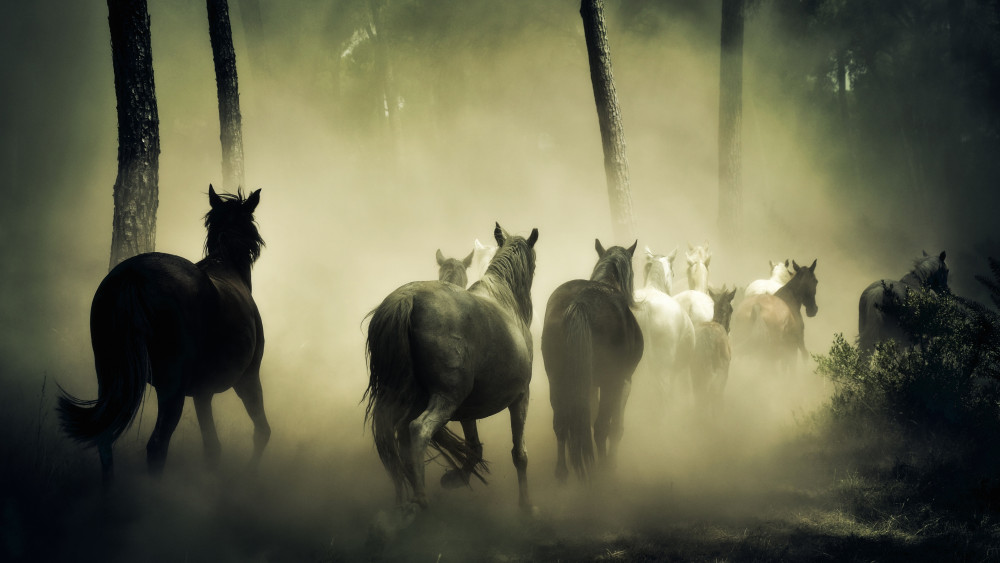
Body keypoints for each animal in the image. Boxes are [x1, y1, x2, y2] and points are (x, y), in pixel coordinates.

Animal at [58, 186, 270, 483]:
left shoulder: (203, 393)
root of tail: (133, 273)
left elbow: (212, 448)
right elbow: (261, 433)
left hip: (110, 377)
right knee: (157, 446)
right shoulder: (247, 379)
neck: (226, 265)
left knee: (105, 441)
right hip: (172, 389)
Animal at [364, 223, 538, 513]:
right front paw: (527, 507)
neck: (505, 300)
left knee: (390, 439)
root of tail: (407, 299)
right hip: (446, 398)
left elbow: (474, 448)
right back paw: (420, 499)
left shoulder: (468, 408)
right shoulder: (520, 397)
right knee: (417, 430)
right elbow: (519, 455)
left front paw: (454, 478)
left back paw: (402, 501)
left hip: (408, 399)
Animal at [541, 239, 644, 481]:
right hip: (609, 382)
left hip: (557, 379)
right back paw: (602, 471)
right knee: (600, 427)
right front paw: (612, 463)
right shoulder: (623, 381)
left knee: (561, 422)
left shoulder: (588, 384)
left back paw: (562, 471)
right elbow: (615, 427)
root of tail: (580, 302)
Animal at [691, 286, 737, 416]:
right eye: (731, 309)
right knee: (713, 394)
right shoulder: (725, 370)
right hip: (719, 371)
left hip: (696, 371)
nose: (729, 329)